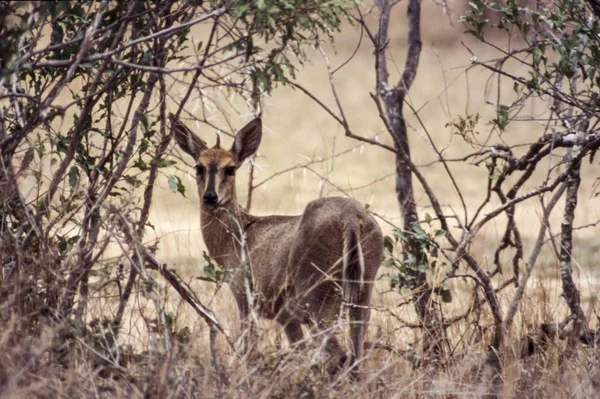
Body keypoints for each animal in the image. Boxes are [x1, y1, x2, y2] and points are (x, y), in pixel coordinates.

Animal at [169, 114, 384, 370]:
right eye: (198, 166)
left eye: (230, 168)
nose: (210, 197)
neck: (235, 238)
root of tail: (351, 219)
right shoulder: (285, 315)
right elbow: (297, 347)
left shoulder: (247, 297)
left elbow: (249, 349)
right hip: (363, 290)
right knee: (356, 352)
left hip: (316, 294)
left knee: (339, 354)